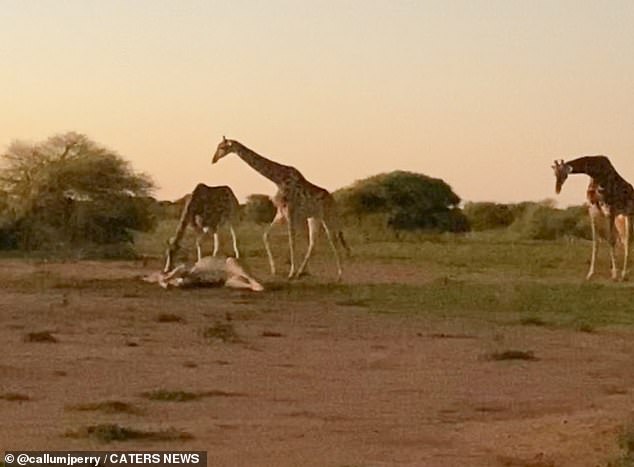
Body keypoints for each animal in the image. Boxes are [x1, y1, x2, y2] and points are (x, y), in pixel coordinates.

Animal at [210, 137, 348, 280]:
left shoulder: (291, 212)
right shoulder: (281, 213)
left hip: (327, 217)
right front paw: (274, 270)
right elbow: (266, 236)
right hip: (314, 218)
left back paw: (339, 275)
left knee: (333, 240)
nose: (213, 160)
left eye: (222, 147)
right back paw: (302, 271)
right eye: (218, 146)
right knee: (313, 242)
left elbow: (292, 242)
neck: (278, 179)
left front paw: (291, 273)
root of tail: (333, 200)